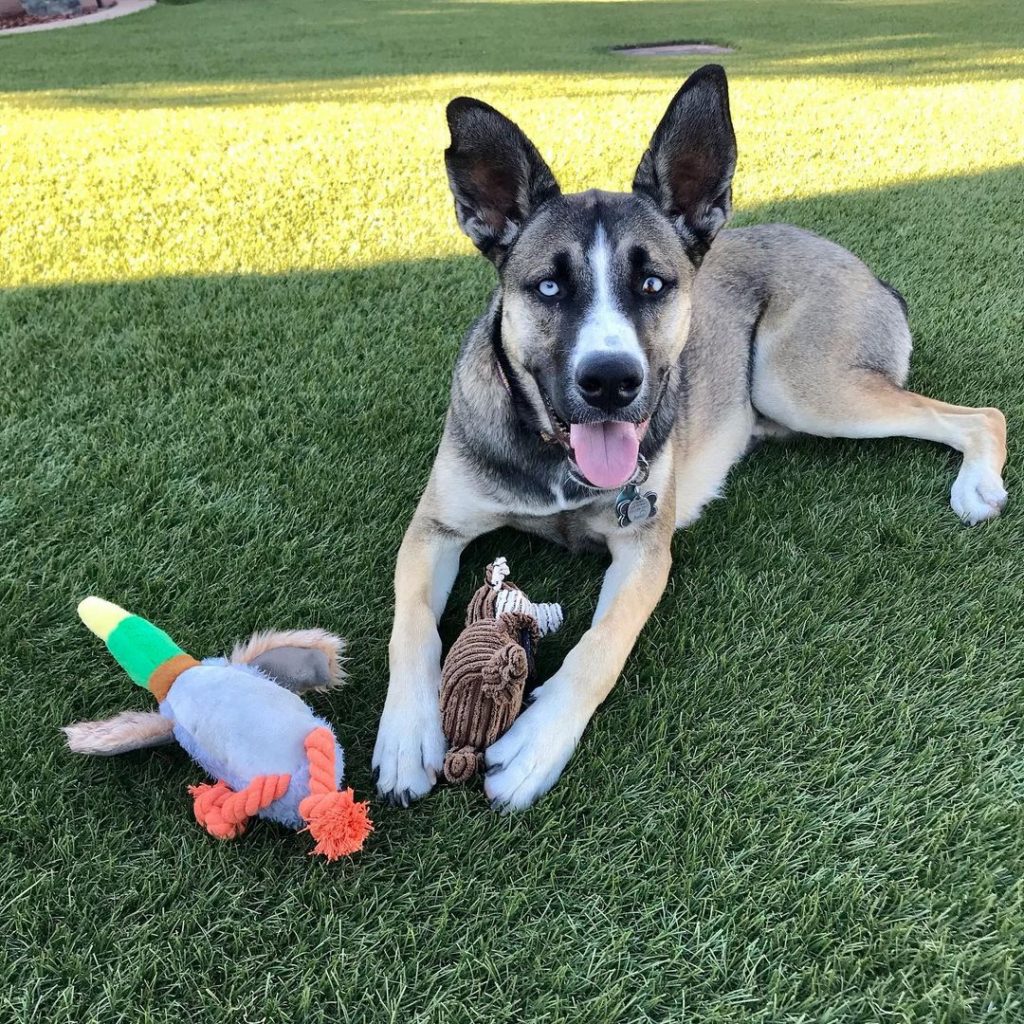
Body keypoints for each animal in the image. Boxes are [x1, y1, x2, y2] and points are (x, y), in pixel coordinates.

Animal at [370, 68, 1007, 811]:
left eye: (653, 283)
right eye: (549, 286)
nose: (611, 381)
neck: (556, 460)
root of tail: (864, 268)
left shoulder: (645, 550)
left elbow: (603, 645)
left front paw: (535, 746)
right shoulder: (434, 527)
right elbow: (410, 625)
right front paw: (407, 736)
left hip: (800, 382)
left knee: (982, 414)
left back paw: (978, 484)